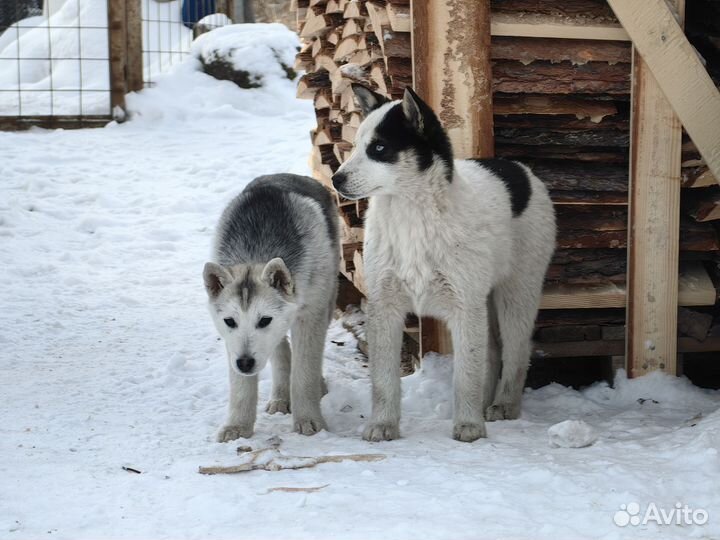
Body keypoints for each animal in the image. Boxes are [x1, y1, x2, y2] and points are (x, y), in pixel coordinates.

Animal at [202, 175, 338, 440]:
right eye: (230, 321)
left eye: (264, 320)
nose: (245, 363)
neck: (256, 252)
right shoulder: (233, 341)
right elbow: (241, 387)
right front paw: (238, 426)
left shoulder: (310, 316)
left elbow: (305, 372)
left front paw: (308, 419)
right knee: (281, 349)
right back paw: (280, 396)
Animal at [332, 86, 556, 440]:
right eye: (355, 146)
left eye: (379, 148)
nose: (335, 179)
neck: (410, 216)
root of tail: (521, 169)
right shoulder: (385, 305)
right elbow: (383, 379)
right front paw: (383, 425)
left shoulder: (465, 305)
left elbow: (466, 374)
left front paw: (468, 425)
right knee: (491, 352)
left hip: (516, 294)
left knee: (516, 350)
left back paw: (504, 405)